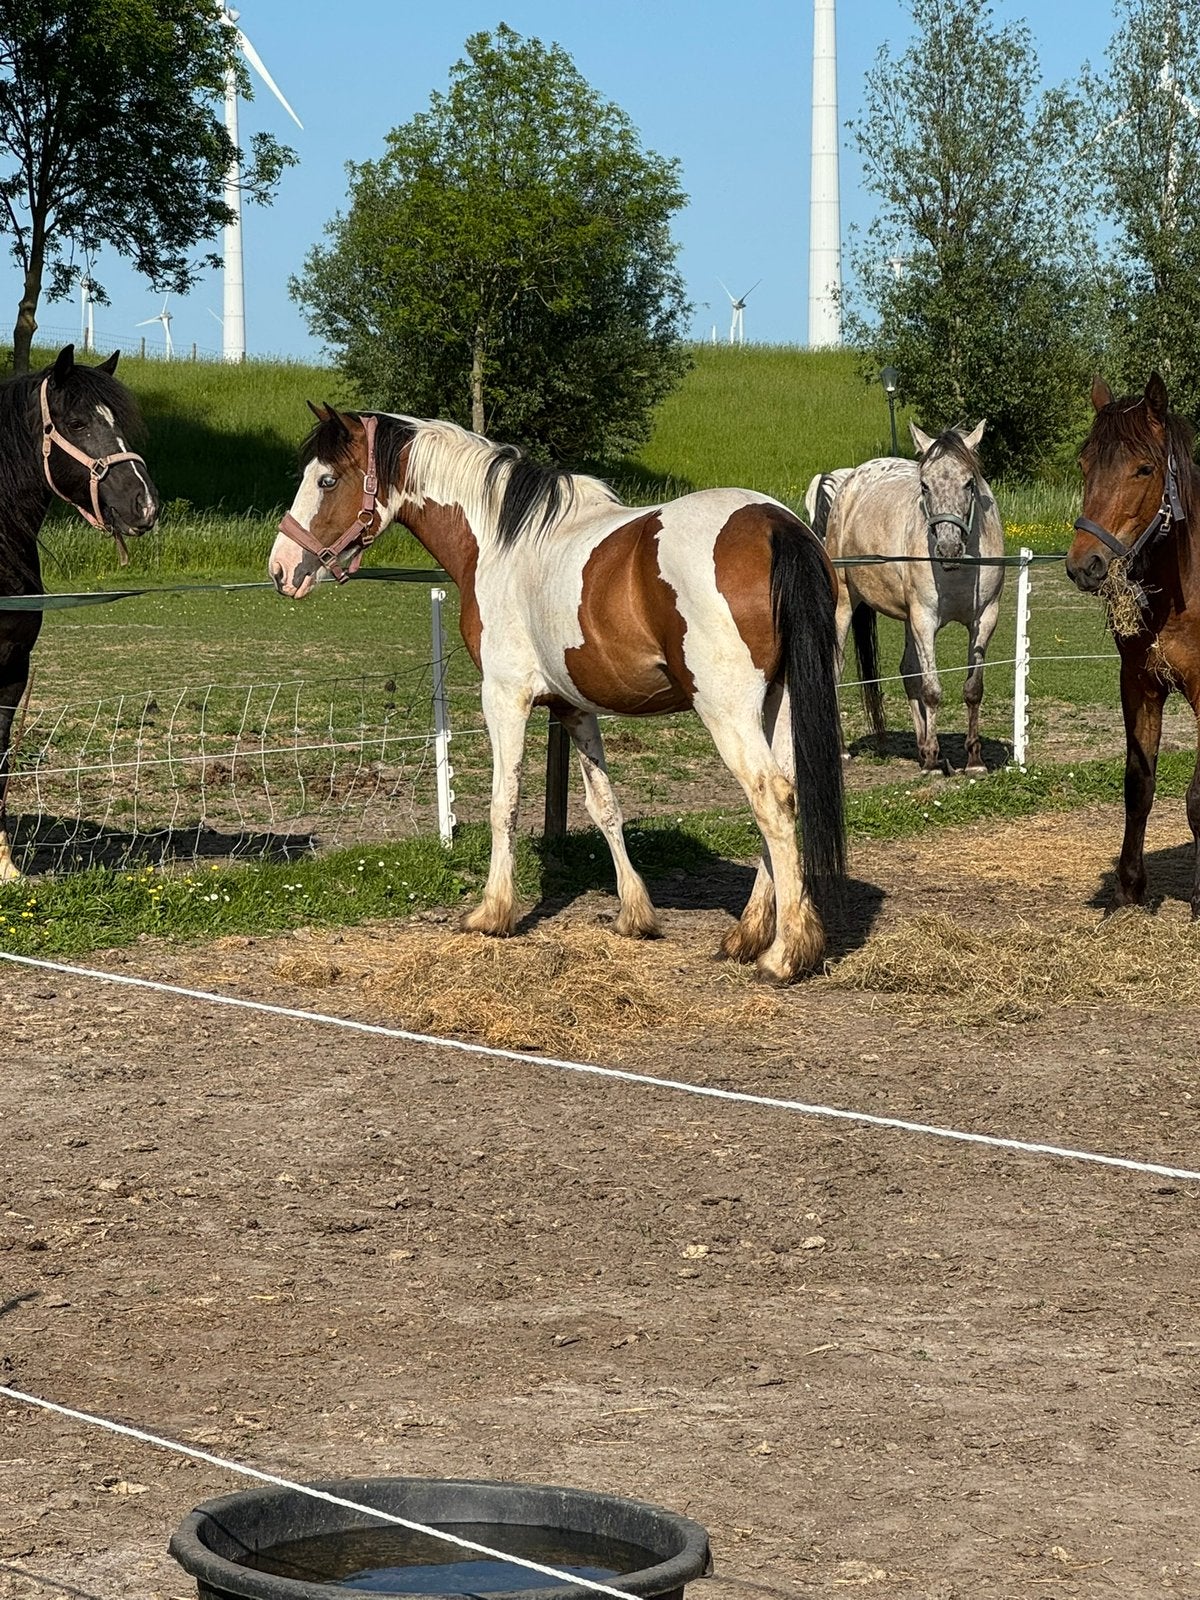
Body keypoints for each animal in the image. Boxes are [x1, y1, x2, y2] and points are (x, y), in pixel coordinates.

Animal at [269, 406, 846, 981]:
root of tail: (775, 525)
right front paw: (634, 914)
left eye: (326, 480)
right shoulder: (573, 706)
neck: (502, 544)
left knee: (770, 798)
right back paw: (747, 936)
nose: (281, 568)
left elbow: (504, 801)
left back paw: (784, 954)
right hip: (778, 704)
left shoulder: (504, 697)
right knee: (786, 795)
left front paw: (493, 912)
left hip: (727, 710)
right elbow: (604, 806)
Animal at [823, 422, 1005, 773]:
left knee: (908, 671)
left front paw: (973, 760)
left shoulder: (985, 619)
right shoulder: (925, 620)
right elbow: (932, 690)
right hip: (845, 604)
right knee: (836, 670)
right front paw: (933, 761)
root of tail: (853, 478)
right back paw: (841, 751)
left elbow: (972, 689)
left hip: (908, 618)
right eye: (924, 485)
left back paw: (921, 748)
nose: (948, 547)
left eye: (969, 482)